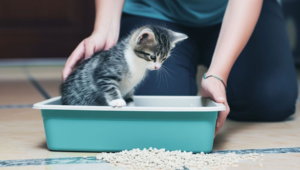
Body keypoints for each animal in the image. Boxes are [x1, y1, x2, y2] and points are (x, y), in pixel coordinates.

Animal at [60, 25, 188, 106]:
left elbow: (130, 99)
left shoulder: (130, 88)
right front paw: (116, 101)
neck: (138, 62)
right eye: (152, 57)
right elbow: (109, 85)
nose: (157, 67)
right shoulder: (104, 71)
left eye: (164, 59)